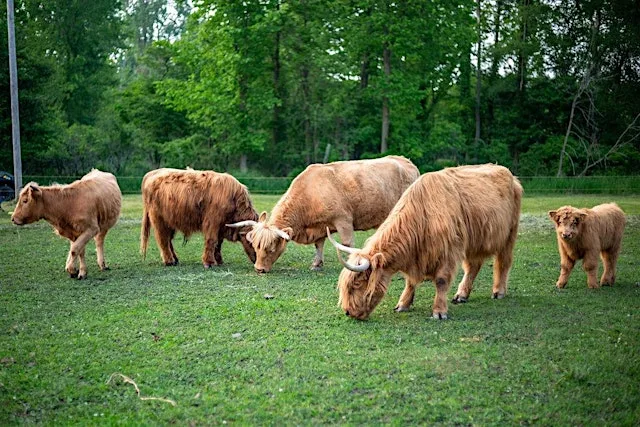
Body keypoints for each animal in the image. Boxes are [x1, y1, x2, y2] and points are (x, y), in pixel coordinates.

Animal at [226, 156, 420, 273]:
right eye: (255, 246)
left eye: (271, 248)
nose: (259, 269)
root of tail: (405, 160)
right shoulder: (319, 227)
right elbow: (319, 245)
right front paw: (316, 264)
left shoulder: (344, 221)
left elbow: (346, 244)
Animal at [328, 164, 523, 320]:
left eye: (357, 284)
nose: (348, 312)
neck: (421, 218)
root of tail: (509, 174)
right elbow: (410, 281)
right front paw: (403, 304)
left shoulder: (449, 251)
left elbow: (441, 281)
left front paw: (439, 312)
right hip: (475, 241)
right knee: (473, 266)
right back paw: (461, 295)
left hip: (509, 234)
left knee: (503, 262)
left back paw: (498, 291)